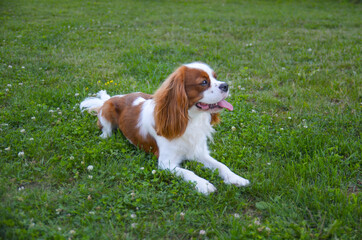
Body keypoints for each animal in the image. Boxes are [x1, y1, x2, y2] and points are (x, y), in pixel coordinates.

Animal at [80, 61, 249, 194]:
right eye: (203, 82)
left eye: (215, 77)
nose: (225, 85)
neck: (190, 120)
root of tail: (110, 99)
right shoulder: (166, 163)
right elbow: (188, 172)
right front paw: (204, 184)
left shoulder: (199, 152)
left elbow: (221, 165)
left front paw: (236, 178)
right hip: (107, 112)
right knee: (106, 131)